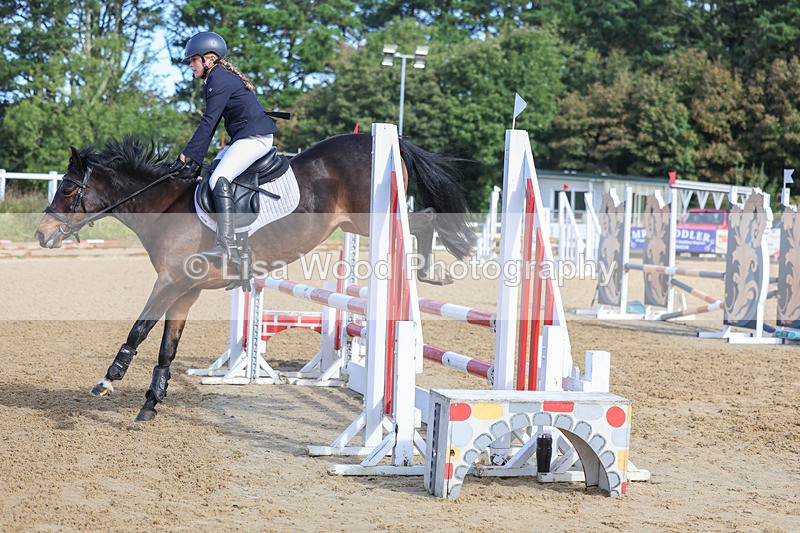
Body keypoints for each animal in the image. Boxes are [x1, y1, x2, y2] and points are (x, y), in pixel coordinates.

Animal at [35, 134, 475, 422]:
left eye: (68, 190)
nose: (41, 235)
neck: (163, 207)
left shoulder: (170, 283)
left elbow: (139, 329)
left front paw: (108, 380)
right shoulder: (185, 292)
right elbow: (166, 349)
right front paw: (150, 403)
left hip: (372, 218)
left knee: (424, 218)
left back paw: (430, 271)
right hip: (356, 223)